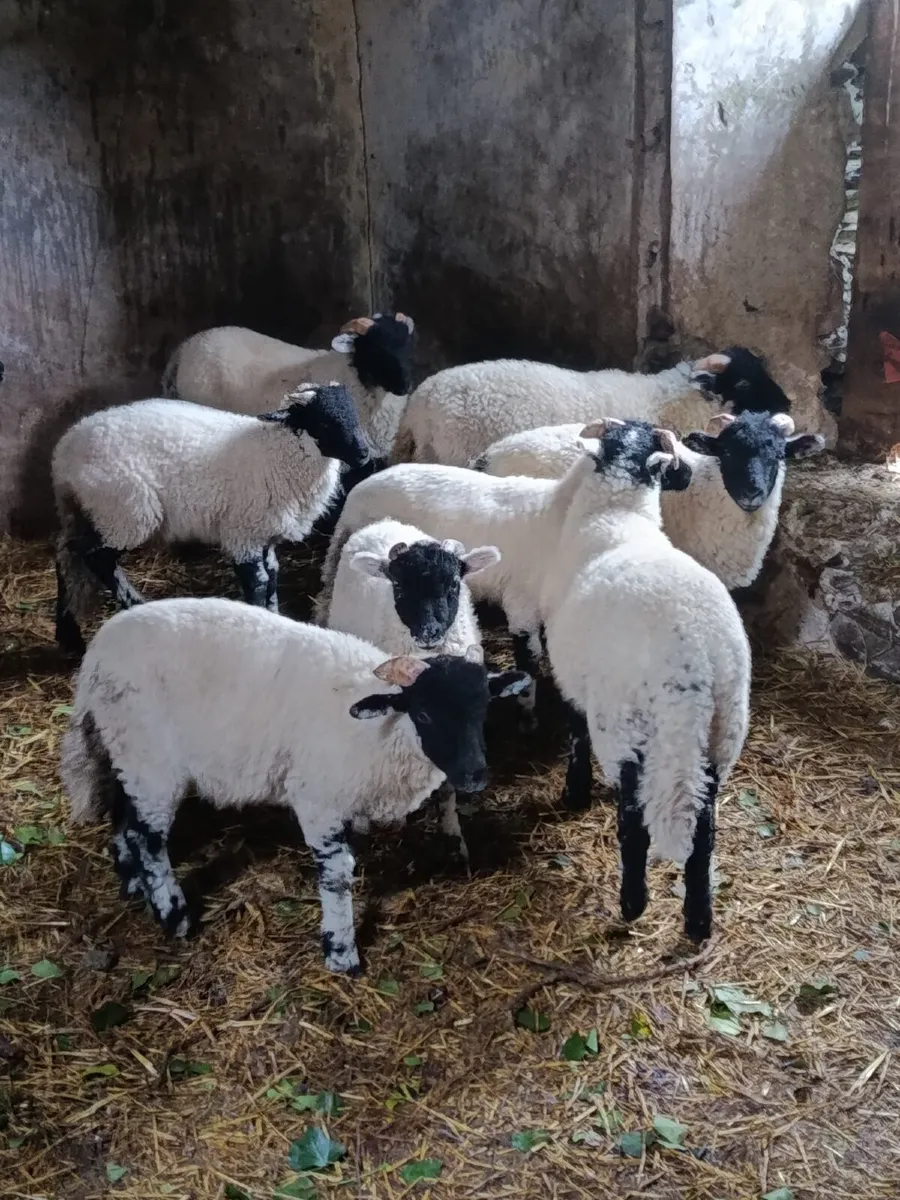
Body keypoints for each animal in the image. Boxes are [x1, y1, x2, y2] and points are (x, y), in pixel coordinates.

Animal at [52, 383, 371, 655]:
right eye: (323, 422)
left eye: (354, 414)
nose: (364, 453)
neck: (275, 454)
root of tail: (64, 453)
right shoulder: (242, 533)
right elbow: (258, 582)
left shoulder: (265, 534)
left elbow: (272, 576)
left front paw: (275, 615)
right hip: (126, 512)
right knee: (96, 557)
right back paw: (133, 604)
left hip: (87, 512)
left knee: (66, 556)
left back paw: (69, 635)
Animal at [61, 597, 529, 972]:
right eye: (426, 714)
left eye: (483, 709)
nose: (474, 777)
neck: (381, 733)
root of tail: (96, 656)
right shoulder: (317, 799)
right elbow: (337, 874)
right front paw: (341, 953)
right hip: (151, 758)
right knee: (149, 839)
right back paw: (175, 916)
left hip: (126, 752)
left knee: (126, 822)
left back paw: (133, 885)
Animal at [323, 518, 502, 864]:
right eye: (399, 587)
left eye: (454, 585)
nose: (428, 633)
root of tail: (385, 523)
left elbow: (446, 787)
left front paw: (453, 838)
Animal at [539, 419, 750, 943]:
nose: (689, 474)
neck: (616, 516)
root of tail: (691, 664)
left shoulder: (569, 674)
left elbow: (574, 734)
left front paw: (575, 792)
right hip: (725, 729)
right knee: (703, 831)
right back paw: (698, 921)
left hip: (624, 724)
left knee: (634, 821)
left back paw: (632, 903)